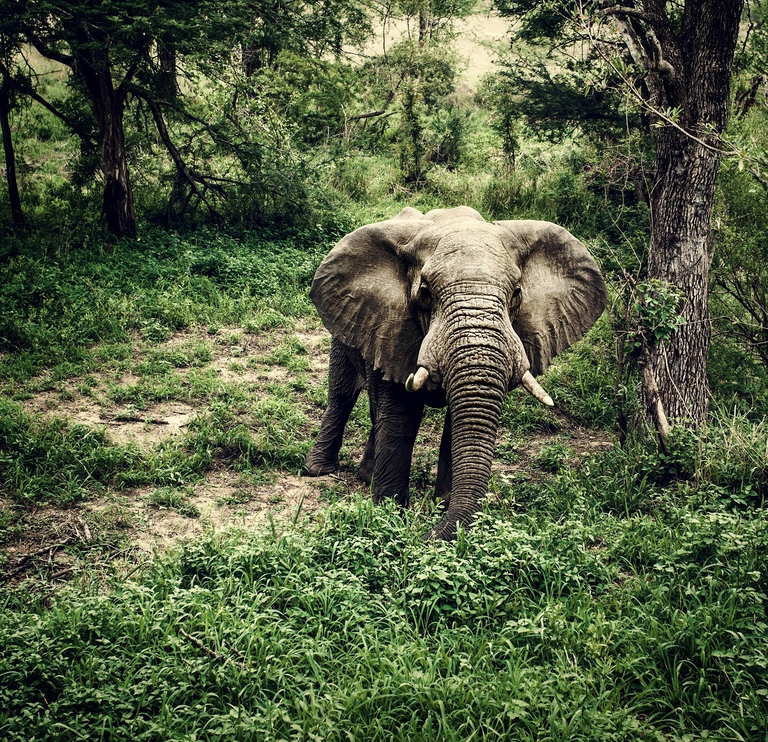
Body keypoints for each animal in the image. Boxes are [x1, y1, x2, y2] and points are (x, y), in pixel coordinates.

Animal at [304, 206, 607, 540]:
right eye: (424, 293)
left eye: (516, 294)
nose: (427, 534)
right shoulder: (393, 326)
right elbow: (401, 416)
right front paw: (390, 515)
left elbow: (457, 421)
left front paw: (441, 507)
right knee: (342, 393)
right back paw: (318, 470)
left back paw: (366, 476)